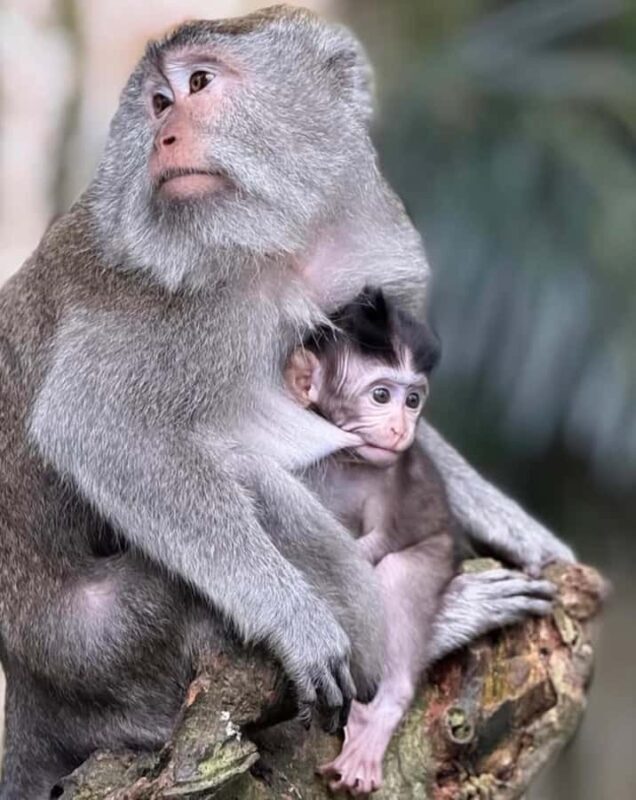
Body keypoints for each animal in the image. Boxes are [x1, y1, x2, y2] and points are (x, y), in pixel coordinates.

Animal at [0, 7, 569, 798]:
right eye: (157, 102)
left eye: (198, 84)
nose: (164, 135)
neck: (277, 245)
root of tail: (29, 687)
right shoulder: (170, 302)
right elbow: (96, 425)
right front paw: (297, 620)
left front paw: (508, 519)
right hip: (117, 644)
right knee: (242, 475)